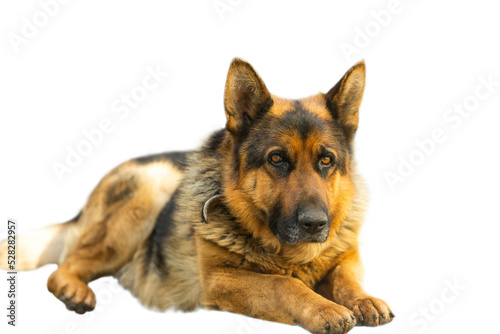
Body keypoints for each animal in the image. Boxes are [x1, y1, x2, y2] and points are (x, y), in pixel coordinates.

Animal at [0, 58, 394, 332]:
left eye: (326, 160)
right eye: (277, 160)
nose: (315, 224)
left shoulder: (345, 256)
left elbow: (343, 276)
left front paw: (364, 299)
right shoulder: (219, 280)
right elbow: (285, 284)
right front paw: (324, 307)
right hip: (150, 188)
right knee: (63, 267)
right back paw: (74, 291)